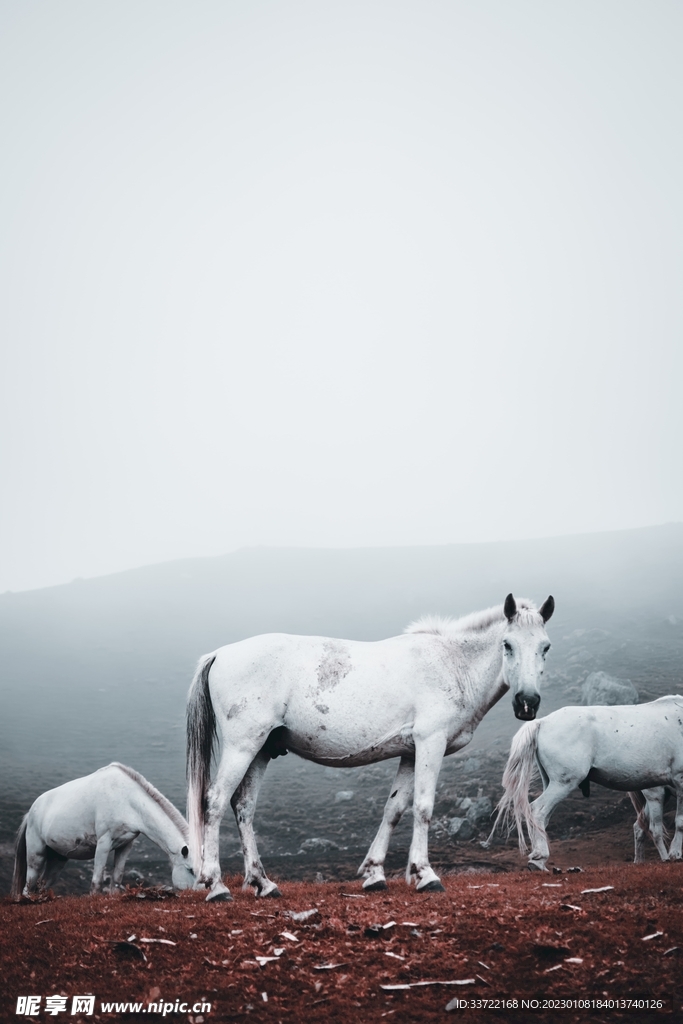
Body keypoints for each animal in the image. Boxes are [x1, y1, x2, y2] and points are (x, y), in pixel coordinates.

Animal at [12, 763, 196, 896]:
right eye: (190, 870)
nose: (197, 895)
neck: (127, 800)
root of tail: (30, 813)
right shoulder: (103, 843)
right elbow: (97, 881)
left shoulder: (125, 845)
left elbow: (117, 878)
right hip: (36, 854)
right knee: (29, 887)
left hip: (58, 859)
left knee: (42, 885)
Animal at [186, 592, 555, 902]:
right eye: (507, 644)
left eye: (545, 647)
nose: (527, 703)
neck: (452, 664)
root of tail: (221, 653)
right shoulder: (430, 743)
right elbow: (423, 807)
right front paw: (426, 875)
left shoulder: (410, 752)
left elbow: (394, 809)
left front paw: (375, 873)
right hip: (242, 746)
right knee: (215, 802)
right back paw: (216, 885)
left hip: (261, 751)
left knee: (243, 806)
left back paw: (263, 883)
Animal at [488, 697, 683, 870]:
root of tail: (542, 722)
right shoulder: (680, 780)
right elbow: (680, 822)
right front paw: (675, 854)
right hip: (564, 784)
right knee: (538, 810)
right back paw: (538, 860)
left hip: (552, 783)